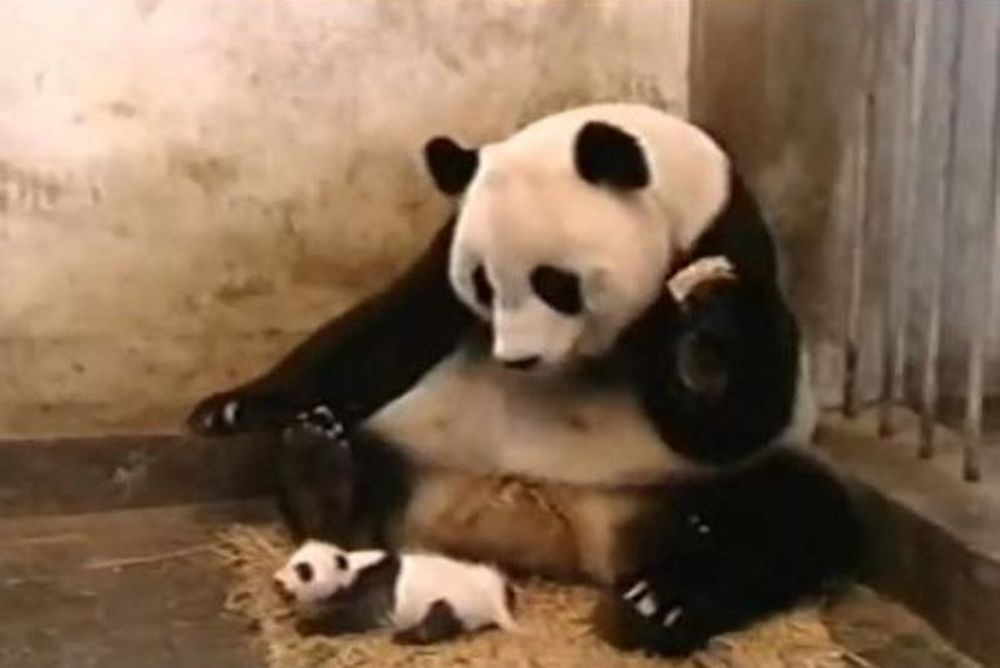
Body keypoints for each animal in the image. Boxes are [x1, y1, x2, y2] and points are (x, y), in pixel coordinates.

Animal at [272, 540, 518, 644]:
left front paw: (308, 625)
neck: (351, 569)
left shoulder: (373, 590)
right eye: (290, 560)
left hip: (457, 603)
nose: (277, 582)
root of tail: (494, 604)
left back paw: (405, 637)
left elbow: (358, 618)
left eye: (304, 570)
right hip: (487, 574)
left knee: (437, 621)